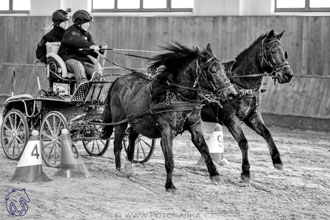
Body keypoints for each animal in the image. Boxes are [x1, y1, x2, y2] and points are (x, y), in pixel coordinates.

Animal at [102, 42, 237, 191]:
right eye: (212, 71)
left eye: (224, 70)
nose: (232, 93)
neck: (177, 96)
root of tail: (118, 80)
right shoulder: (167, 130)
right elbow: (170, 159)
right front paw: (170, 185)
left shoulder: (195, 126)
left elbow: (205, 149)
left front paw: (215, 174)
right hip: (120, 121)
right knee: (117, 144)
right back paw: (118, 169)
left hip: (138, 121)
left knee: (132, 136)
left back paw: (128, 168)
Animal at [201, 30, 294, 183]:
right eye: (273, 51)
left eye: (284, 52)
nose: (288, 75)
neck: (241, 84)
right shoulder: (230, 119)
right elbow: (243, 142)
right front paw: (245, 172)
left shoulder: (252, 116)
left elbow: (267, 133)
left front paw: (277, 161)